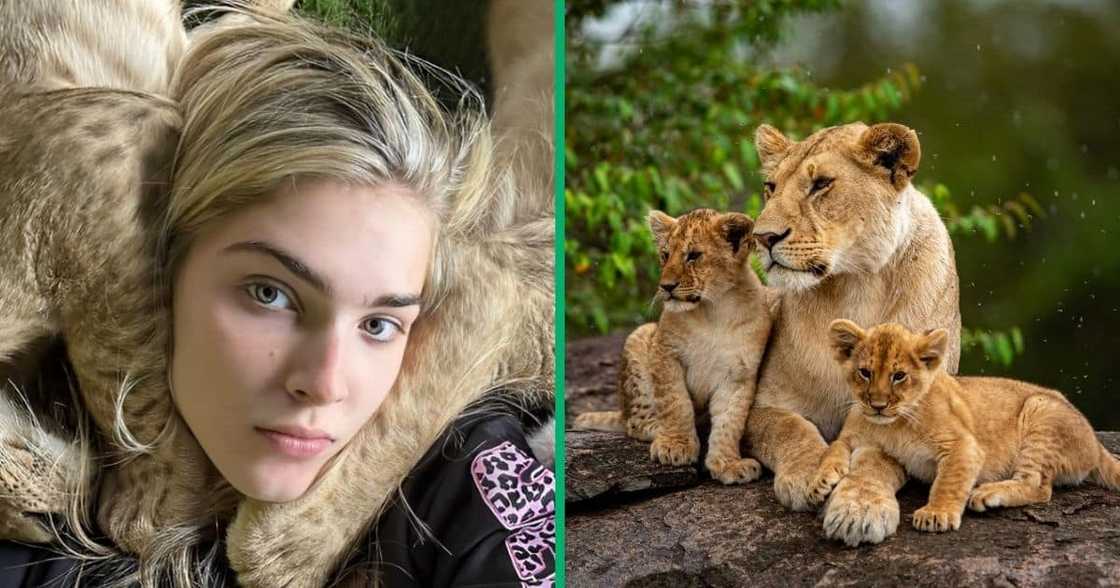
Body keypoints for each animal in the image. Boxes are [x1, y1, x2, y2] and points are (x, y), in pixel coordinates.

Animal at [574, 208, 777, 485]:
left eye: (693, 255)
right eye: (665, 255)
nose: (666, 286)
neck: (714, 311)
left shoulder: (739, 374)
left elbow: (730, 422)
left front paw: (728, 464)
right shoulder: (665, 354)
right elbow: (675, 404)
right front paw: (676, 446)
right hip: (640, 336)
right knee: (634, 423)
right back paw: (659, 429)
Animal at [745, 122, 961, 547]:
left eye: (821, 185)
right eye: (770, 187)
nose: (762, 237)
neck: (855, 287)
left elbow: (878, 459)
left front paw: (857, 509)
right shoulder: (757, 407)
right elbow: (788, 426)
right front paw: (809, 473)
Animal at [809, 320, 1120, 534]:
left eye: (899, 376)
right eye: (865, 372)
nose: (878, 404)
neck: (892, 425)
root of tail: (1095, 442)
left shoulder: (963, 445)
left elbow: (949, 480)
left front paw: (937, 514)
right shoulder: (851, 434)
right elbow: (833, 448)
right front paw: (819, 483)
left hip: (1040, 409)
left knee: (1039, 486)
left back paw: (988, 494)